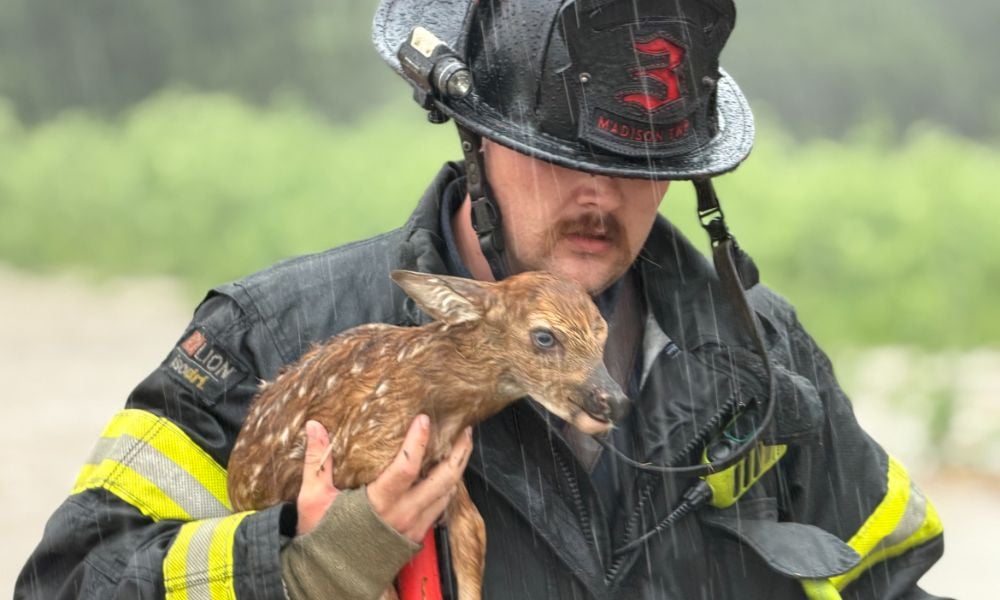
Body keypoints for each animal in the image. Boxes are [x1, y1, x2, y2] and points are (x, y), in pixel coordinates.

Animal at [227, 269, 629, 600]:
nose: (614, 400)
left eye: (603, 333)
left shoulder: (443, 461)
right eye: (544, 337)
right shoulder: (360, 456)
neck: (435, 397)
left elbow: (473, 532)